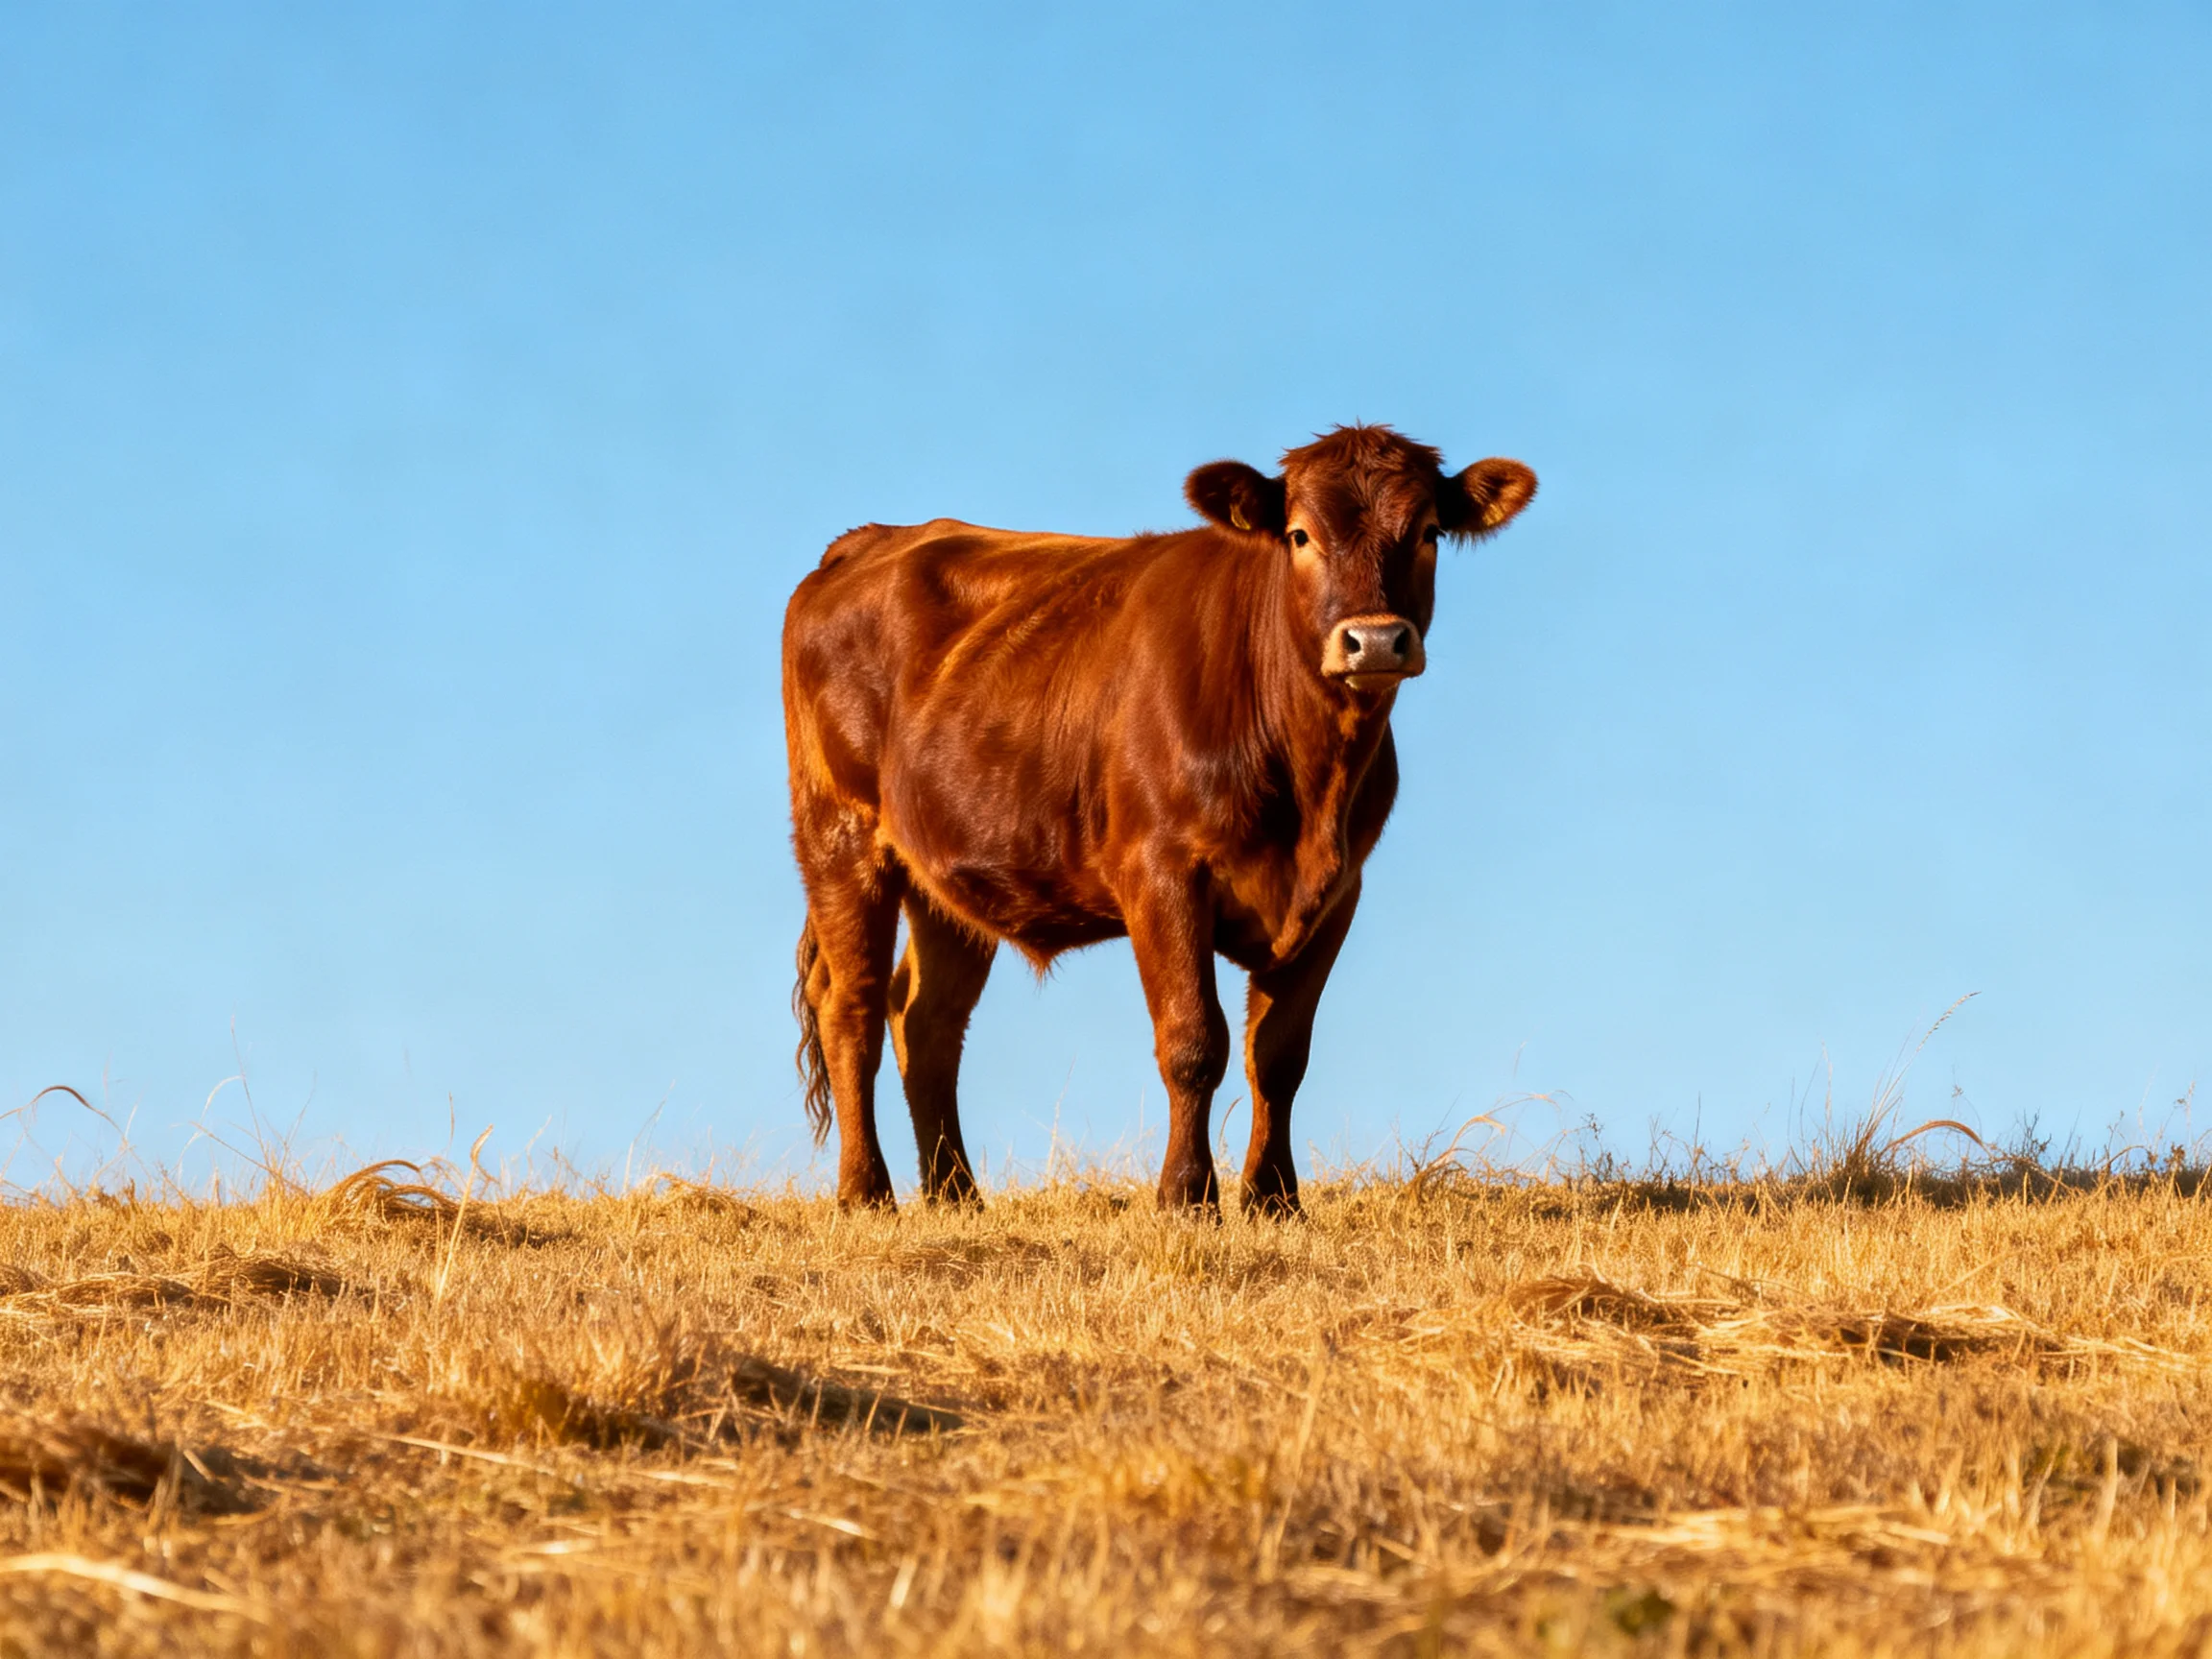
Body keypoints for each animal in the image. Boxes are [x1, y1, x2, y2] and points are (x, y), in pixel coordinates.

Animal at [781, 425, 1536, 1214]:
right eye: (1299, 534)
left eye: (1427, 532)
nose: (1377, 640)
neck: (1308, 783)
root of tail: (872, 539)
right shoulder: (1160, 869)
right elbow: (1193, 1041)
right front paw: (1186, 1194)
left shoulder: (1336, 893)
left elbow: (1280, 1056)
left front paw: (1273, 1198)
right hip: (840, 834)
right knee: (852, 1007)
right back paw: (866, 1191)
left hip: (947, 875)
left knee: (924, 1019)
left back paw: (956, 1192)